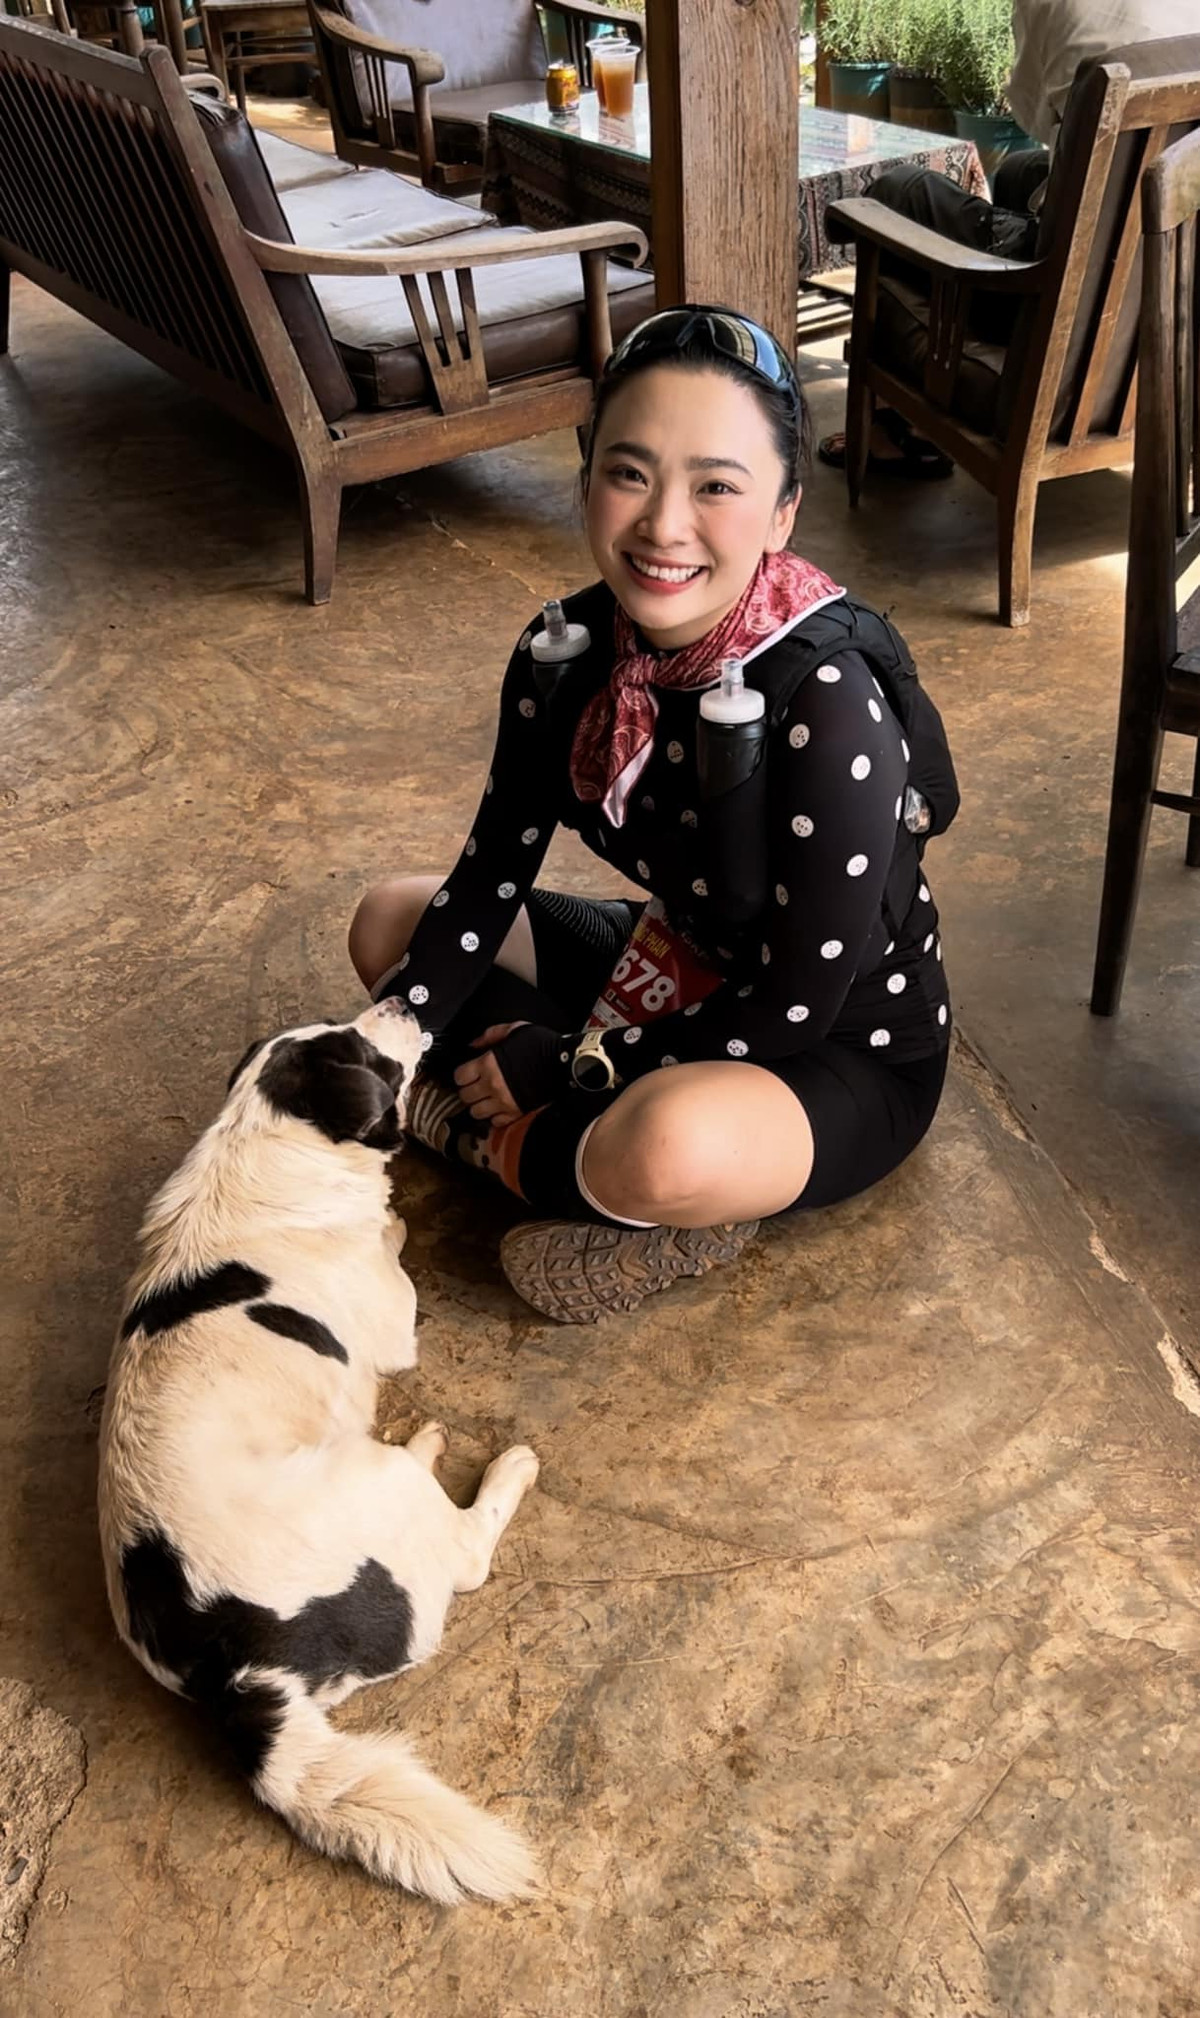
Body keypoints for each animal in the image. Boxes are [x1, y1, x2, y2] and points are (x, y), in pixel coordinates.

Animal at [98, 999, 540, 1906]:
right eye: (366, 1047)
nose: (405, 1001)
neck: (262, 1137)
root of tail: (236, 1675)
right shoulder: (396, 1324)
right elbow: (395, 1264)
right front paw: (395, 1224)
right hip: (380, 1487)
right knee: (467, 1551)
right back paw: (488, 1461)